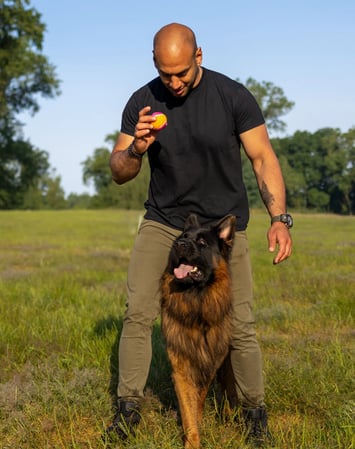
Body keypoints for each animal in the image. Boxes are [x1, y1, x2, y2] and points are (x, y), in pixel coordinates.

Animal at [161, 214, 236, 448]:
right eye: (183, 236)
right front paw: (192, 440)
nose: (179, 244)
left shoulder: (209, 362)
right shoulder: (182, 367)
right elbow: (188, 408)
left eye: (202, 242)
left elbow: (199, 399)